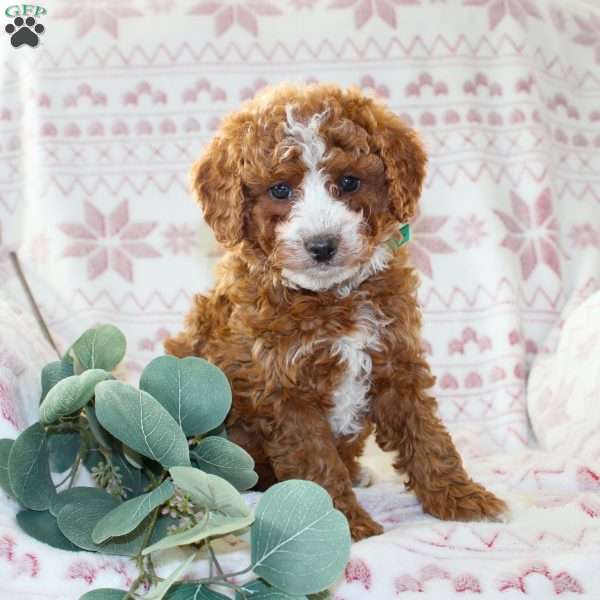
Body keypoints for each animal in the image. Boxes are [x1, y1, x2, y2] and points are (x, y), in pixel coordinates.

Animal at [165, 83, 506, 540]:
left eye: (349, 181)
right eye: (280, 190)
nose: (322, 245)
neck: (331, 298)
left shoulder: (395, 360)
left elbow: (428, 436)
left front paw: (462, 499)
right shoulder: (283, 389)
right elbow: (316, 461)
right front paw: (340, 522)